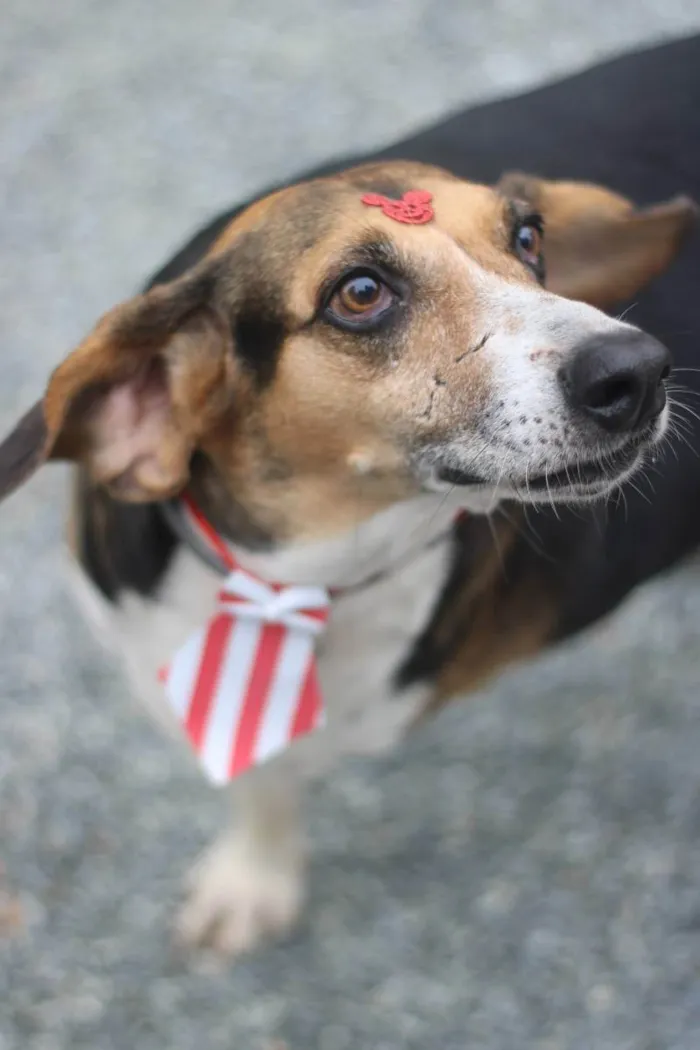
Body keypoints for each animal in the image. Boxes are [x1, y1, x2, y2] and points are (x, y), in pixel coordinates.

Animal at [1, 34, 700, 961]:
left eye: (527, 237)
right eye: (360, 293)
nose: (639, 370)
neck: (291, 580)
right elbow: (260, 777)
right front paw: (253, 876)